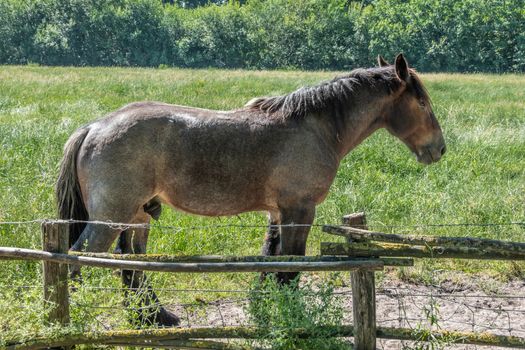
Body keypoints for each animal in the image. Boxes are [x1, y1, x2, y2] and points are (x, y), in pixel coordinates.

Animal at [56, 54, 442, 326]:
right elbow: (289, 268)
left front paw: (266, 308)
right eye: (422, 103)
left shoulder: (277, 213)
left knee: (132, 266)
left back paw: (152, 318)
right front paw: (291, 316)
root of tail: (95, 126)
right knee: (75, 261)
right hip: (109, 220)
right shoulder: (299, 210)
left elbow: (269, 263)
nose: (439, 149)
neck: (315, 128)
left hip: (137, 216)